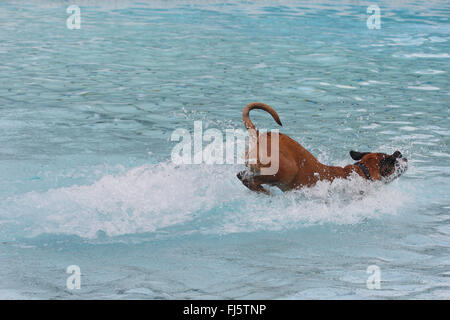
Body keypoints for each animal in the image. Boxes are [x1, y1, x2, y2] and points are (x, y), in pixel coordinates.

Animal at [237, 102, 406, 194]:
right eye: (394, 161)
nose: (403, 156)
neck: (362, 171)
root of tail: (259, 136)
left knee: (243, 176)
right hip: (285, 170)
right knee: (250, 179)